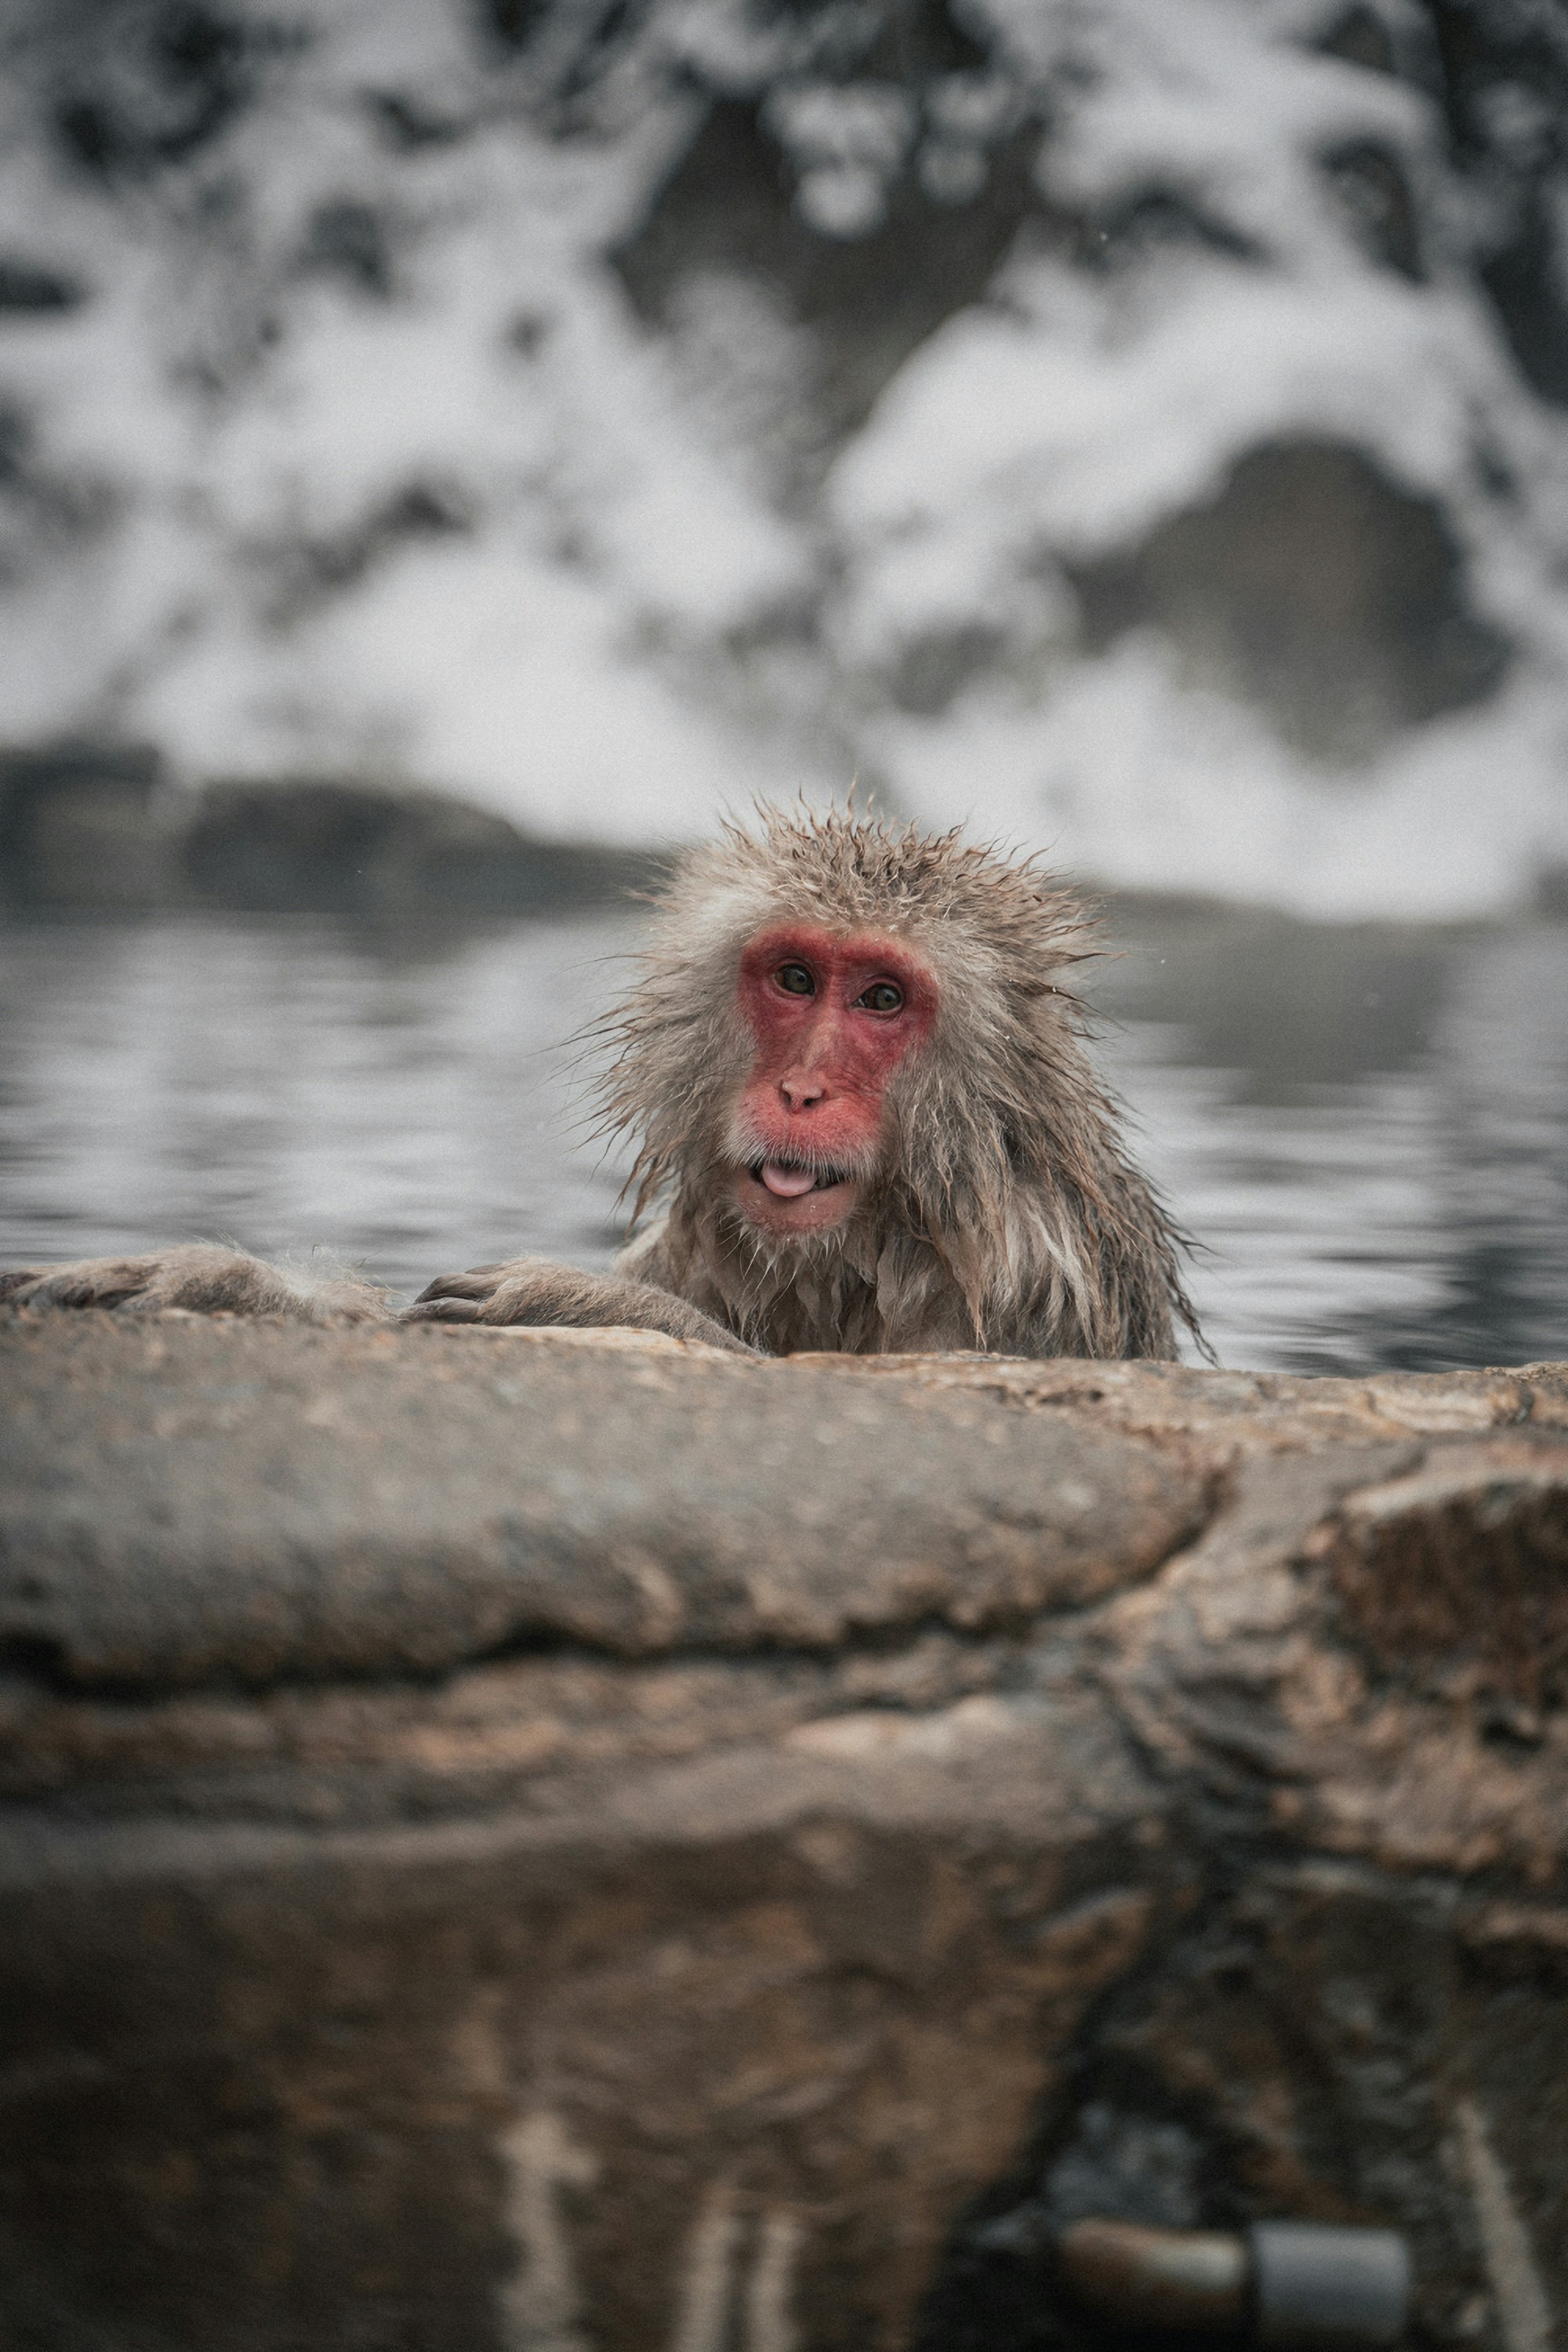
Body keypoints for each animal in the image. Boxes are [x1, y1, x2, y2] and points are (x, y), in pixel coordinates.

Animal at [1, 807, 1202, 1362]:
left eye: (879, 1000)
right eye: (797, 979)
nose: (803, 1092)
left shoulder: (1035, 1280)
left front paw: (566, 1296)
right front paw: (217, 1281)